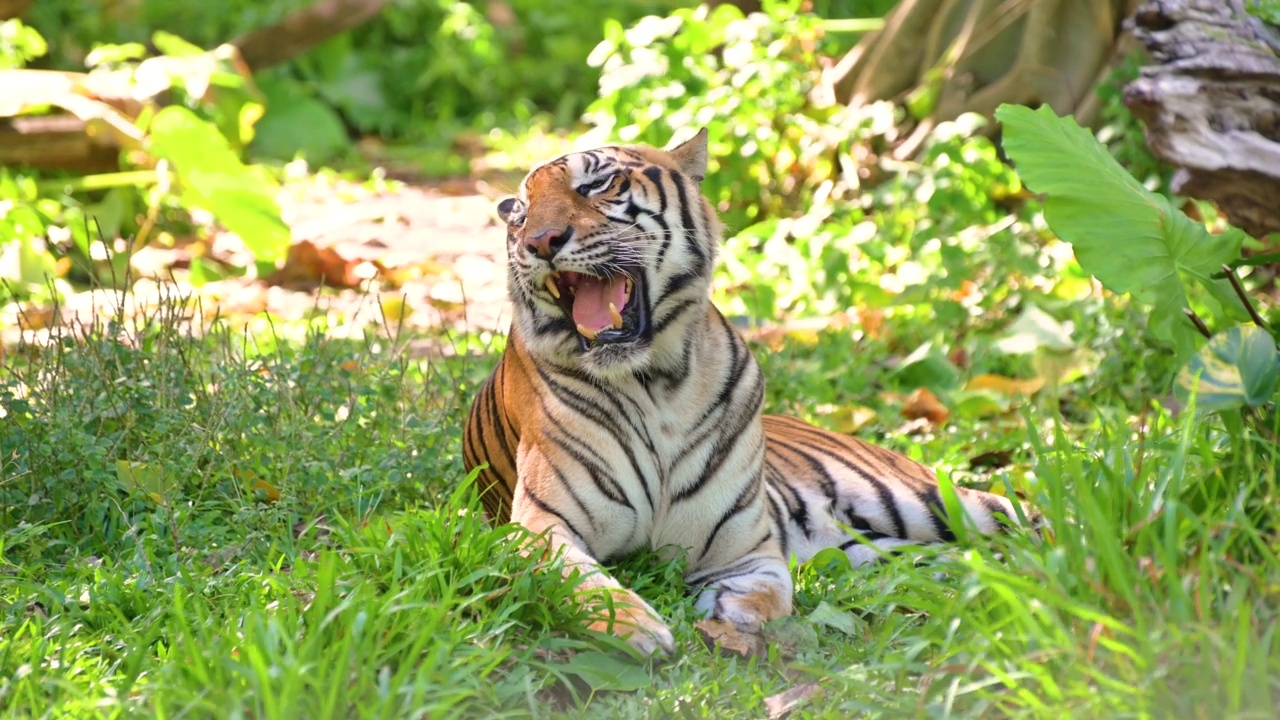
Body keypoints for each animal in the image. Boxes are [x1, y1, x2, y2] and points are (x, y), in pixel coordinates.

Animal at [465, 128, 1034, 655]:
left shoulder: (746, 551)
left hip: (931, 500)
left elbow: (767, 592)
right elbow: (581, 583)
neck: (656, 383)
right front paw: (639, 630)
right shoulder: (540, 526)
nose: (540, 241)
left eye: (597, 183)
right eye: (519, 216)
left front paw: (735, 623)